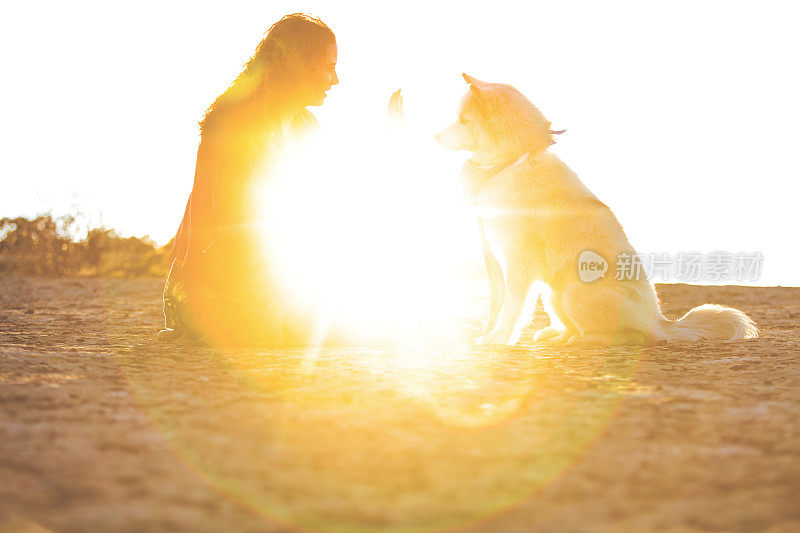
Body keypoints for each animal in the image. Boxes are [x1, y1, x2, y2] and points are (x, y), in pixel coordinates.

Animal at [438, 72, 756, 342]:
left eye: (463, 120)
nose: (435, 137)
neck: (513, 162)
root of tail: (660, 321)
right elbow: (503, 301)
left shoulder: (518, 258)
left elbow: (511, 307)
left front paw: (499, 338)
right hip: (554, 293)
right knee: (570, 323)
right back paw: (558, 335)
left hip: (575, 292)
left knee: (627, 335)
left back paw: (586, 339)